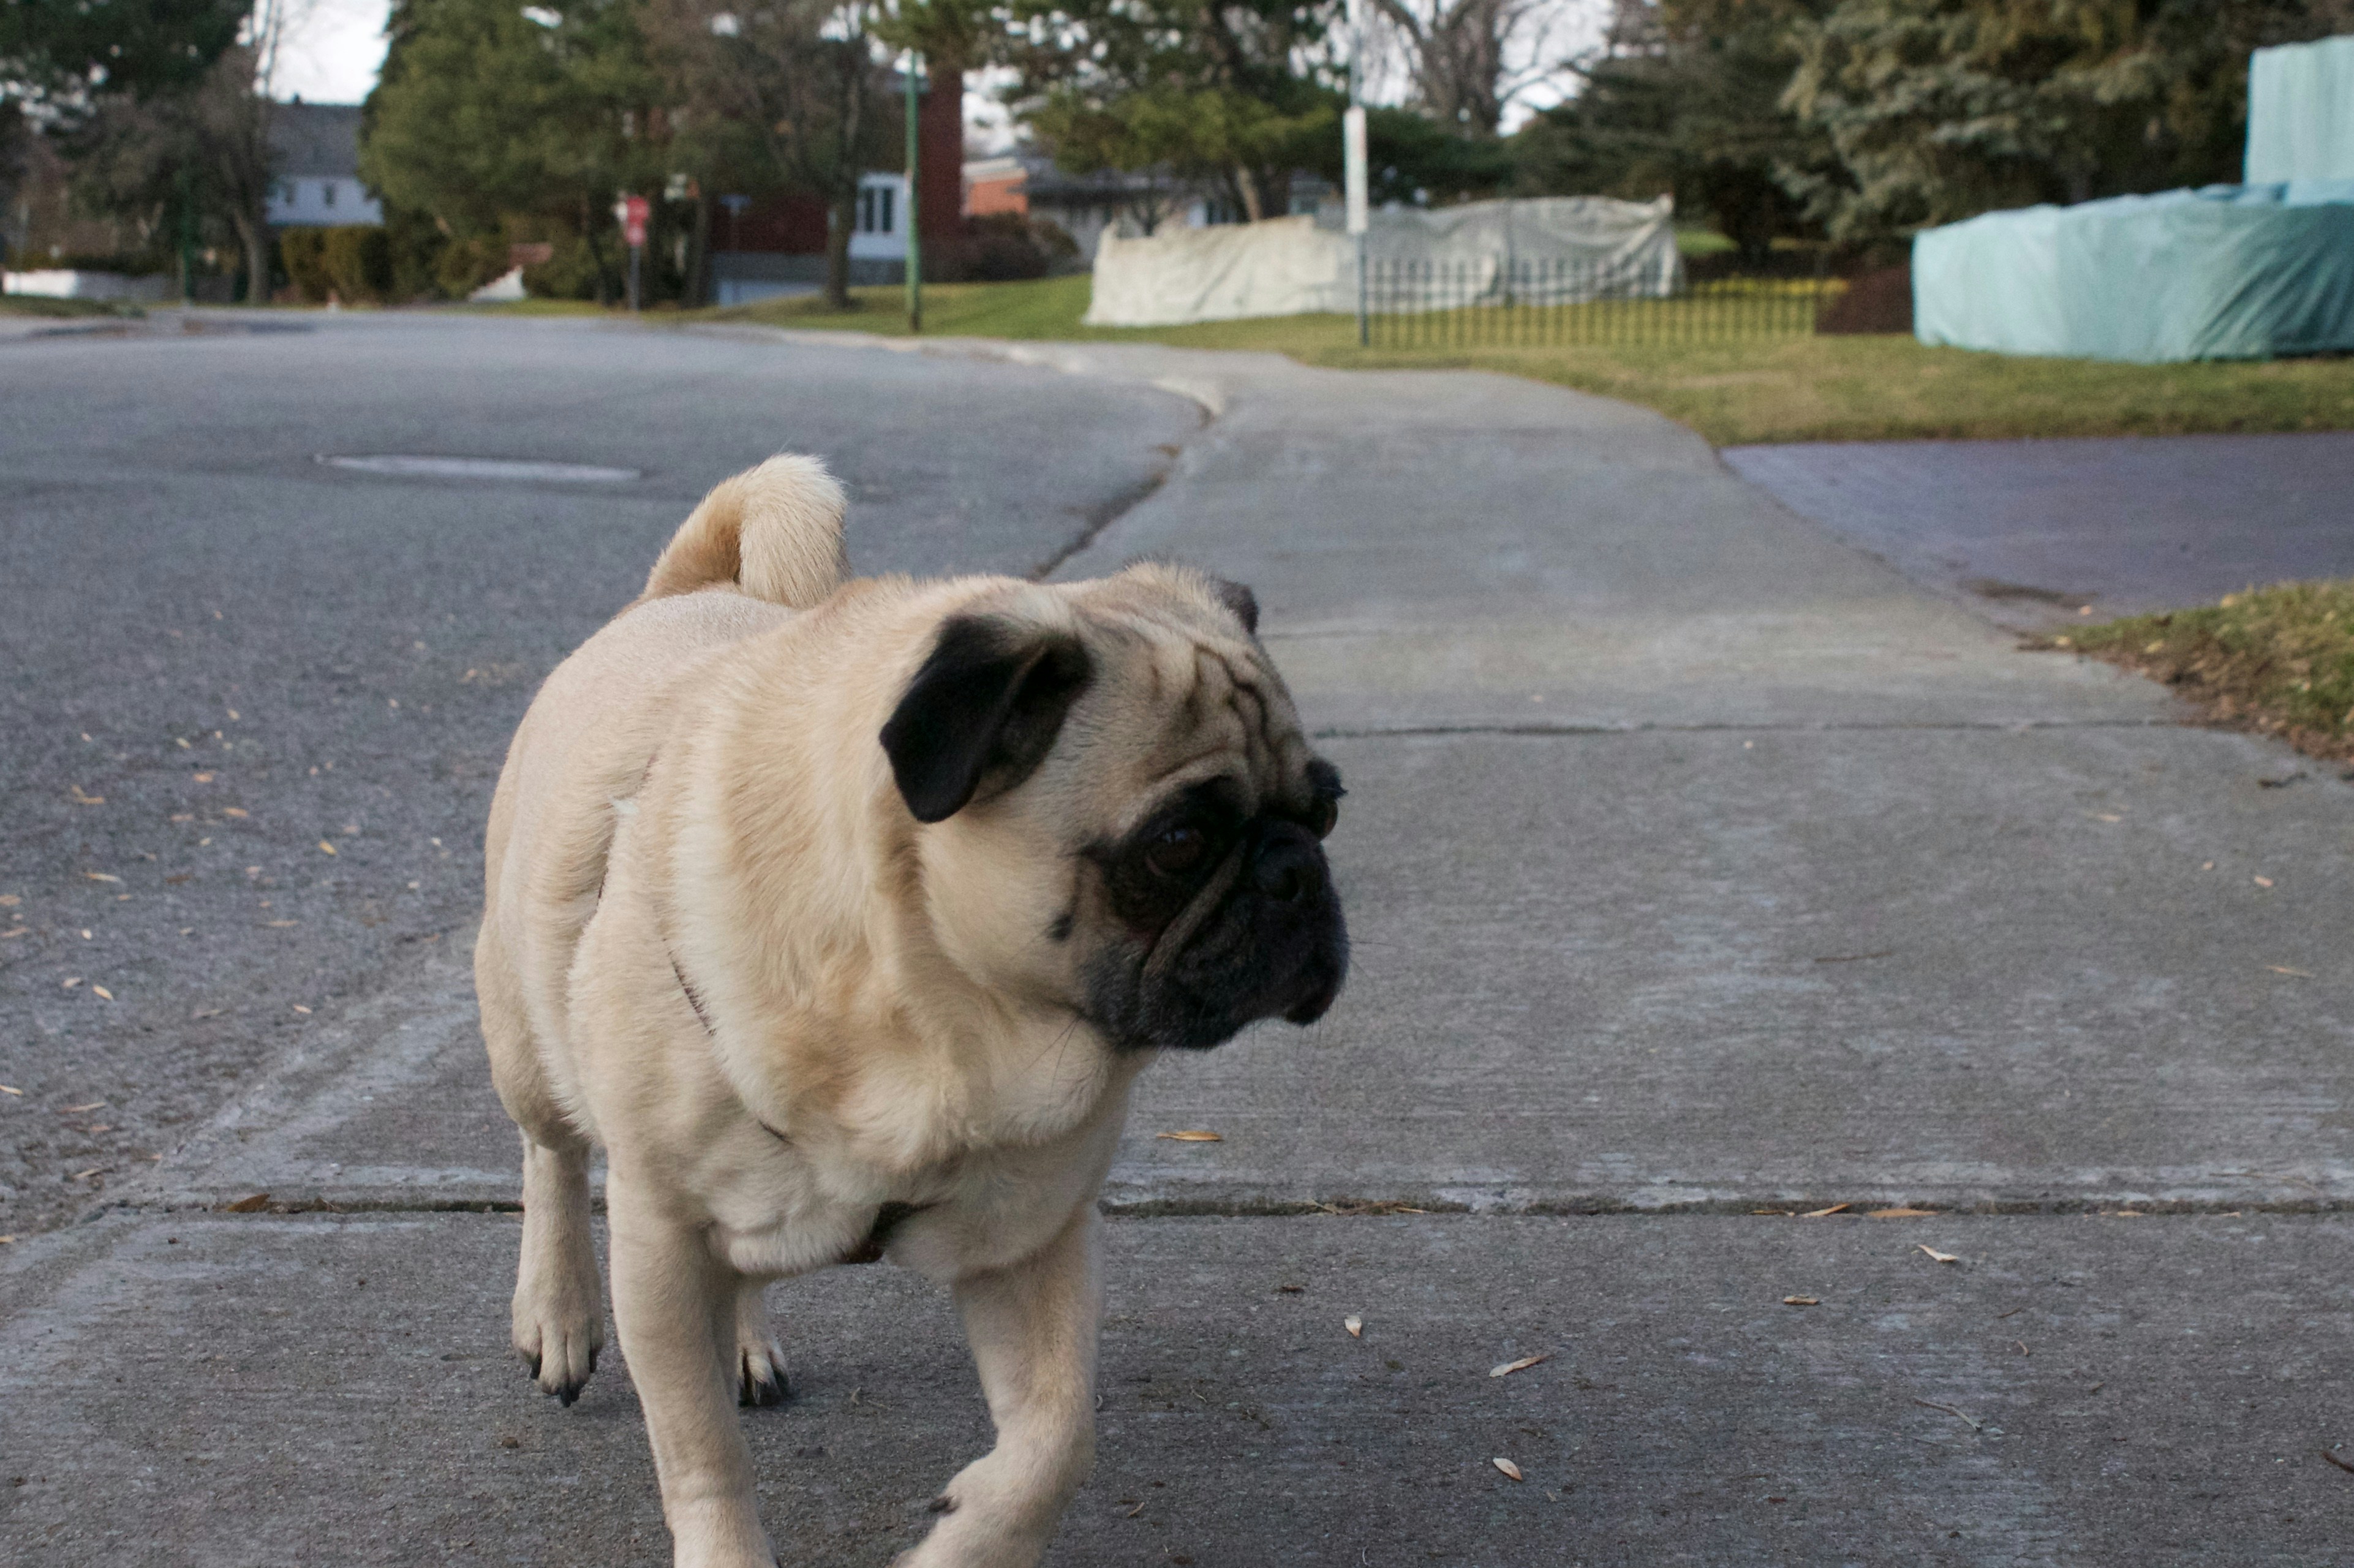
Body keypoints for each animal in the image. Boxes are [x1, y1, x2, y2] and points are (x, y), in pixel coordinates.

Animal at [475, 454, 1348, 1567]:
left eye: (1327, 810)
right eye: (1178, 843)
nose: (1295, 873)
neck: (942, 1022)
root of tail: (682, 593)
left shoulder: (1025, 1238)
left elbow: (1054, 1439)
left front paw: (964, 1542)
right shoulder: (659, 1236)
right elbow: (699, 1452)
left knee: (739, 1273)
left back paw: (746, 1341)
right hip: (525, 1035)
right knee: (549, 1156)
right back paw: (558, 1311)